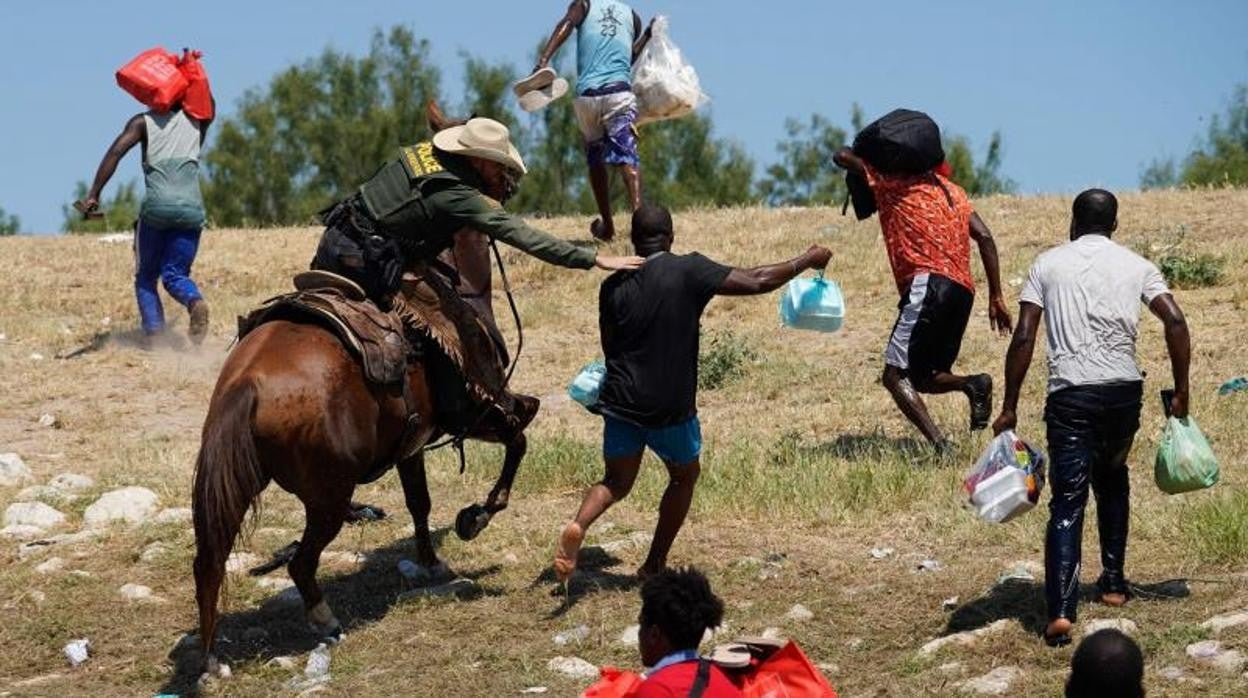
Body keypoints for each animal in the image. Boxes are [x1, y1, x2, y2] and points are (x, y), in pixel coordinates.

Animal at [189, 101, 526, 674]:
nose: (513, 184)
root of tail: (246, 385)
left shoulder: (412, 442)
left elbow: (419, 502)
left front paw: (431, 561)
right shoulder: (479, 408)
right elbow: (519, 435)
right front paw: (475, 517)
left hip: (239, 480)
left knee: (207, 562)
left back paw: (211, 657)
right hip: (328, 495)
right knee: (302, 563)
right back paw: (324, 620)